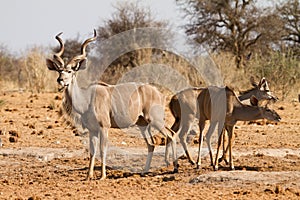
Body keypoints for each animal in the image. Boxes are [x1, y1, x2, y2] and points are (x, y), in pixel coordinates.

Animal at [46, 30, 178, 180]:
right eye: (59, 70)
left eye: (70, 71)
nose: (60, 80)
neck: (87, 99)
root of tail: (159, 93)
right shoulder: (92, 130)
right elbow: (92, 151)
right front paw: (88, 176)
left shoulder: (104, 127)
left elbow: (103, 149)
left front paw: (102, 176)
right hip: (143, 124)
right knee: (152, 143)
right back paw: (145, 171)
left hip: (155, 120)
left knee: (171, 135)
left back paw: (174, 168)